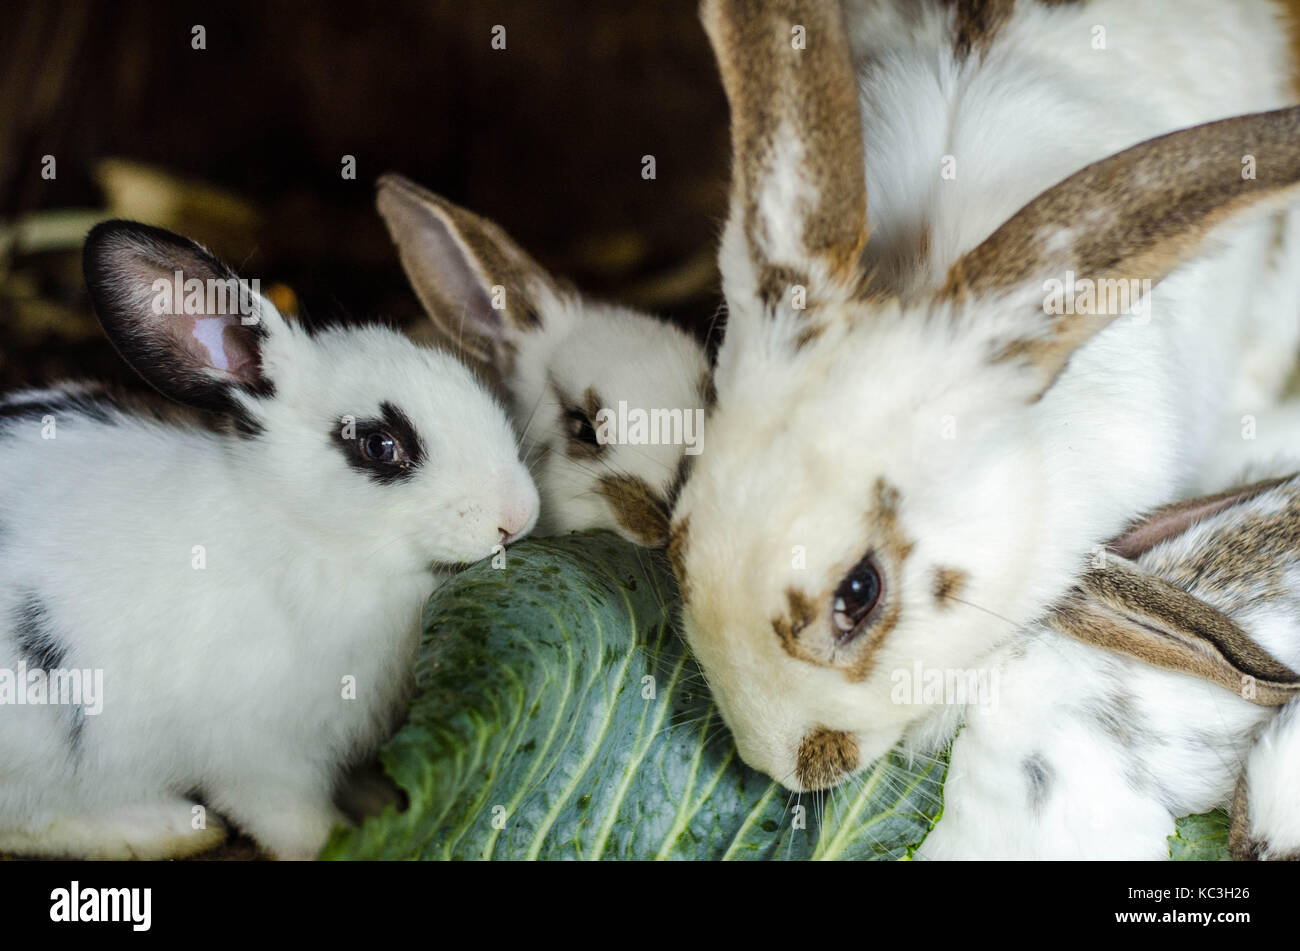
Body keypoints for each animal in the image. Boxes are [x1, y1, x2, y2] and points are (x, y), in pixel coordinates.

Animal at [0, 220, 538, 860]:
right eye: (380, 445)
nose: (518, 514)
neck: (300, 531)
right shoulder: (263, 760)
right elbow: (291, 819)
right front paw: (335, 840)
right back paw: (163, 827)